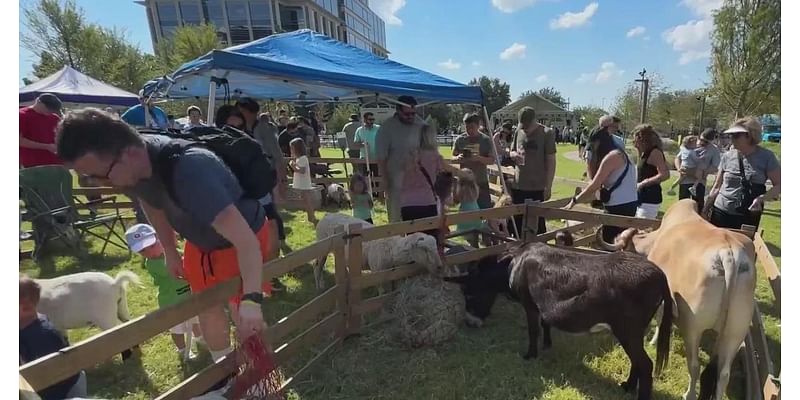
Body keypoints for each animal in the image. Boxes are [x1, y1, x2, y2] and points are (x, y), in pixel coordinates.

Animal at [312, 214, 440, 290]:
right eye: (425, 249)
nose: (439, 266)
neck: (391, 248)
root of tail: (326, 215)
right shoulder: (377, 274)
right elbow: (382, 292)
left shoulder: (394, 274)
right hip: (322, 247)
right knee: (317, 266)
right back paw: (319, 287)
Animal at [446, 241, 672, 400]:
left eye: (468, 294)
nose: (470, 323)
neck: (514, 263)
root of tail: (660, 274)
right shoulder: (542, 305)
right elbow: (545, 323)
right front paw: (547, 345)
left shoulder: (529, 303)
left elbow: (533, 329)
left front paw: (530, 355)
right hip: (635, 330)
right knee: (637, 361)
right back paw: (626, 387)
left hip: (627, 329)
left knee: (645, 364)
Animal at [596, 200, 760, 400]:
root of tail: (728, 255)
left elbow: (660, 320)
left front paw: (653, 341)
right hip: (735, 332)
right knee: (723, 373)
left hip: (692, 327)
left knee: (695, 366)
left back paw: (688, 394)